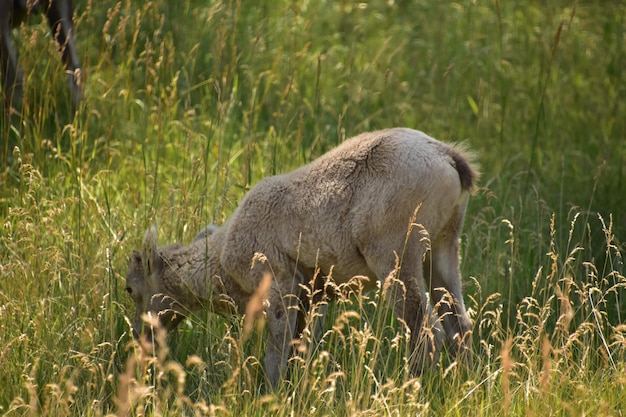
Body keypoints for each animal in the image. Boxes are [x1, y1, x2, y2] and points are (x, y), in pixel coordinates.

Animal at [124, 127, 476, 386]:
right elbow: (299, 352)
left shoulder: (281, 288)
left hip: (396, 258)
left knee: (427, 332)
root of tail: (449, 157)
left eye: (130, 289)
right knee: (460, 326)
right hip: (442, 250)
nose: (140, 338)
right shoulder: (313, 299)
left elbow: (276, 355)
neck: (224, 261)